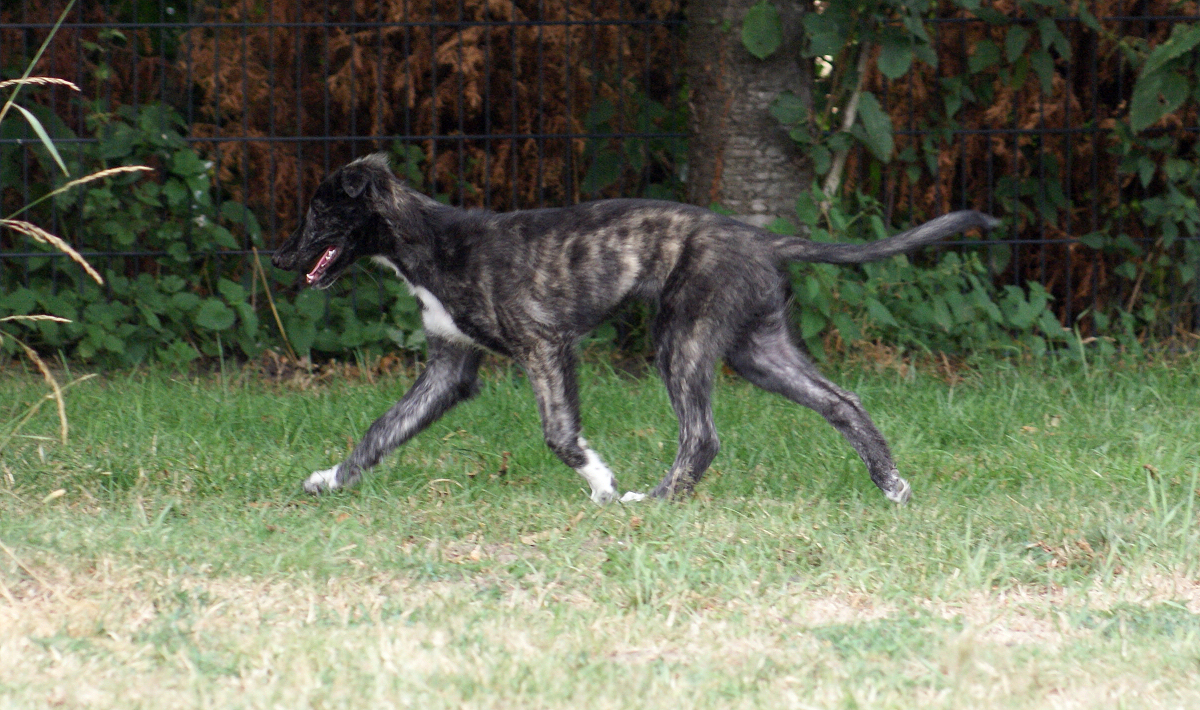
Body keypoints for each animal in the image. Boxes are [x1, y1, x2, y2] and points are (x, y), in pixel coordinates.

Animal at [272, 153, 1000, 504]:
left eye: (319, 211)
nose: (278, 260)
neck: (432, 243)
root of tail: (762, 238)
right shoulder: (450, 367)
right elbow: (381, 430)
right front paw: (330, 481)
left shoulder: (543, 344)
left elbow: (559, 434)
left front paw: (600, 481)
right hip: (757, 348)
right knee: (842, 402)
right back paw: (891, 485)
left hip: (682, 340)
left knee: (702, 436)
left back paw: (653, 500)